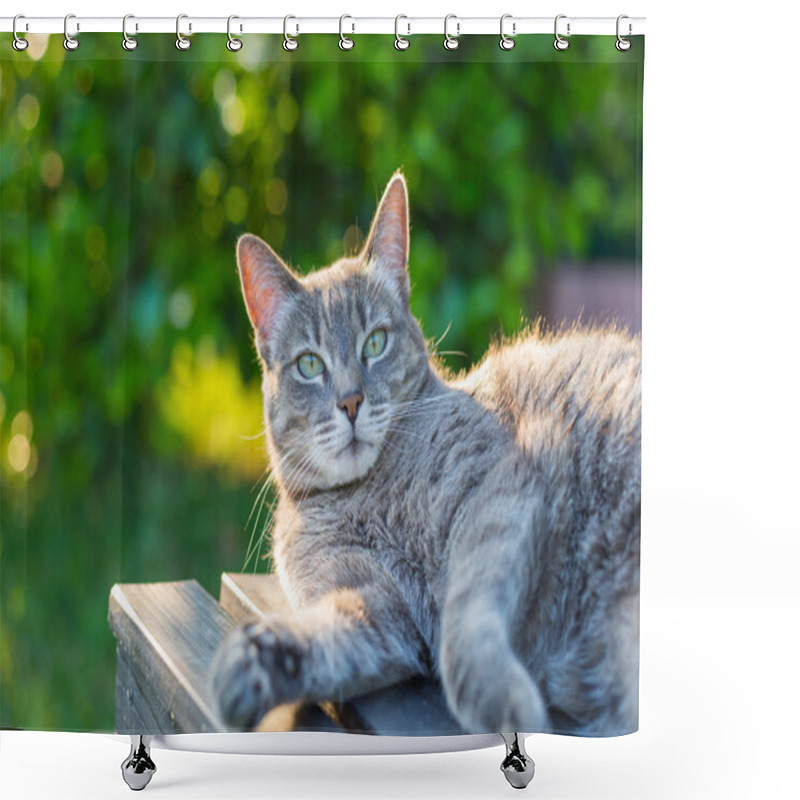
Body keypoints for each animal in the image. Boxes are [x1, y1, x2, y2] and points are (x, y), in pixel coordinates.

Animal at [209, 172, 640, 736]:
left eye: (374, 343)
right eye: (309, 364)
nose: (350, 401)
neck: (367, 495)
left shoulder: (497, 492)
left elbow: (465, 619)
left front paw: (503, 700)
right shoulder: (374, 605)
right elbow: (321, 635)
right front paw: (247, 663)